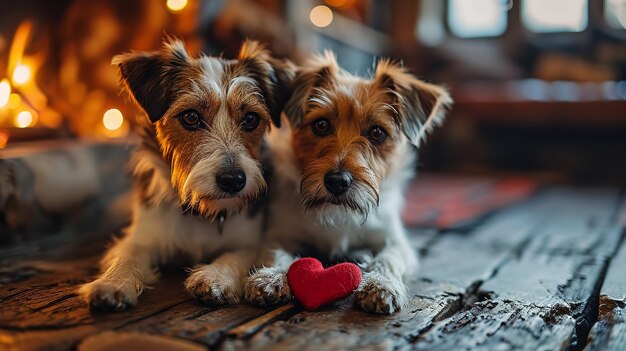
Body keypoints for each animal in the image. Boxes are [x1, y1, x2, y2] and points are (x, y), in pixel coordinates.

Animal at [79, 40, 292, 312]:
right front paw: (112, 283)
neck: (199, 211)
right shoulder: (143, 235)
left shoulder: (250, 241)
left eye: (251, 118)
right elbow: (127, 255)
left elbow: (235, 256)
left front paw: (216, 277)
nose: (233, 180)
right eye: (190, 117)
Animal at [243, 51, 448, 314]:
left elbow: (389, 259)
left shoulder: (395, 241)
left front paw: (381, 283)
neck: (337, 214)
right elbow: (276, 254)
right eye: (321, 125)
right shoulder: (280, 234)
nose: (337, 181)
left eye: (377, 133)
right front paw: (270, 277)